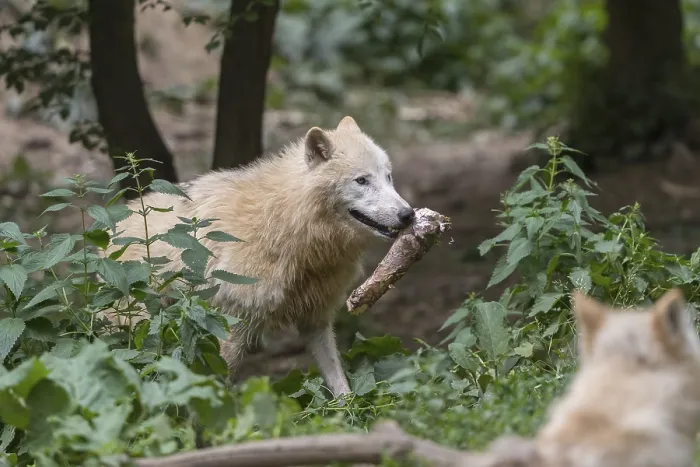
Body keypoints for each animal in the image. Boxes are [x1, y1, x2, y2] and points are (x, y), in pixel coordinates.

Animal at [104, 116, 415, 397]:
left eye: (388, 177)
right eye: (362, 180)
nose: (408, 215)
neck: (287, 224)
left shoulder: (315, 320)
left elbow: (340, 384)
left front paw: (350, 416)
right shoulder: (231, 325)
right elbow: (219, 381)